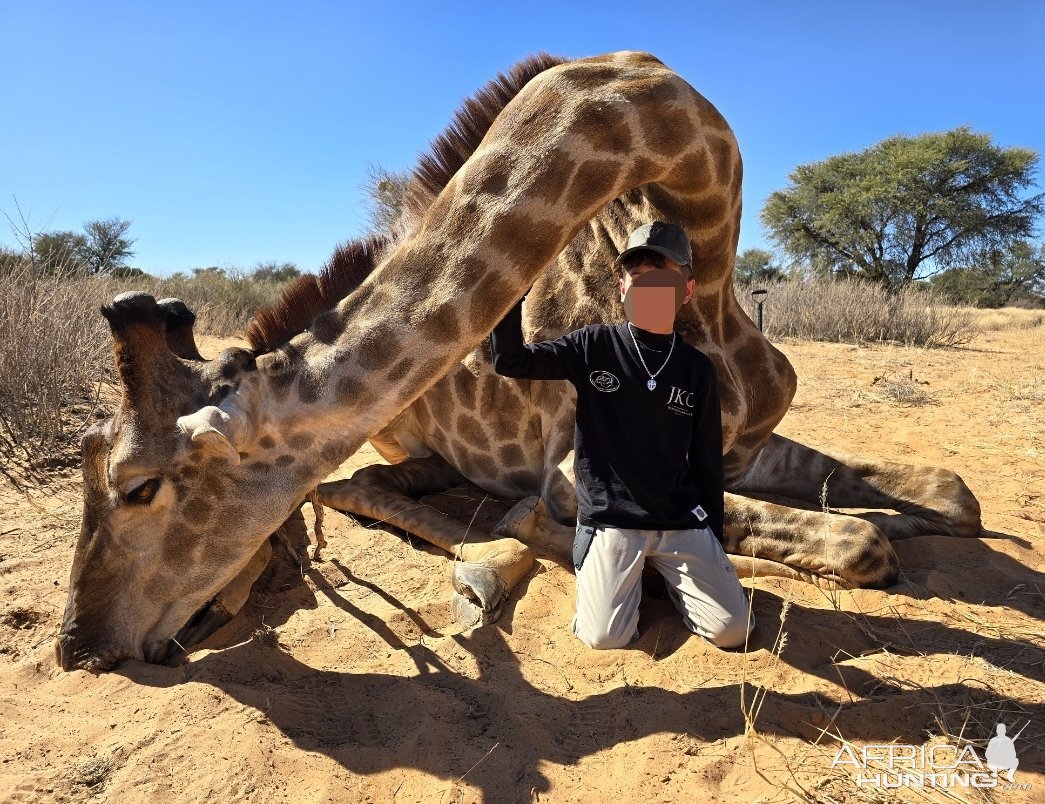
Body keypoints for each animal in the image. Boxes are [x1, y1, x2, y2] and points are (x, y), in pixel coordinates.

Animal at [61, 51, 982, 669]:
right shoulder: (576, 474)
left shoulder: (746, 444)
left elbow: (946, 496)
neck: (709, 260)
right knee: (353, 487)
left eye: (138, 489)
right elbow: (859, 539)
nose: (81, 646)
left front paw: (911, 514)